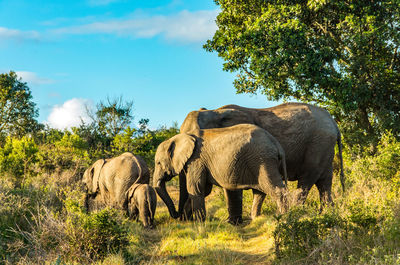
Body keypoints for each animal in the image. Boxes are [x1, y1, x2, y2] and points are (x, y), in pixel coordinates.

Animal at [153, 123, 288, 221]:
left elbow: (196, 188)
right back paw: (256, 219)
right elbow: (204, 190)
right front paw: (186, 221)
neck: (181, 137)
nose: (177, 215)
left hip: (262, 160)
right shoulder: (200, 163)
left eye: (158, 163)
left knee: (274, 188)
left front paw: (199, 223)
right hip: (261, 161)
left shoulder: (196, 160)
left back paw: (284, 216)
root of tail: (277, 144)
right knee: (259, 192)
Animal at [180, 101, 346, 223]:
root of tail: (334, 122)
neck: (214, 111)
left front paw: (232, 223)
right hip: (325, 147)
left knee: (307, 180)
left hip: (318, 144)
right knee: (324, 182)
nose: (183, 219)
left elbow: (231, 187)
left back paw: (294, 213)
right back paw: (327, 214)